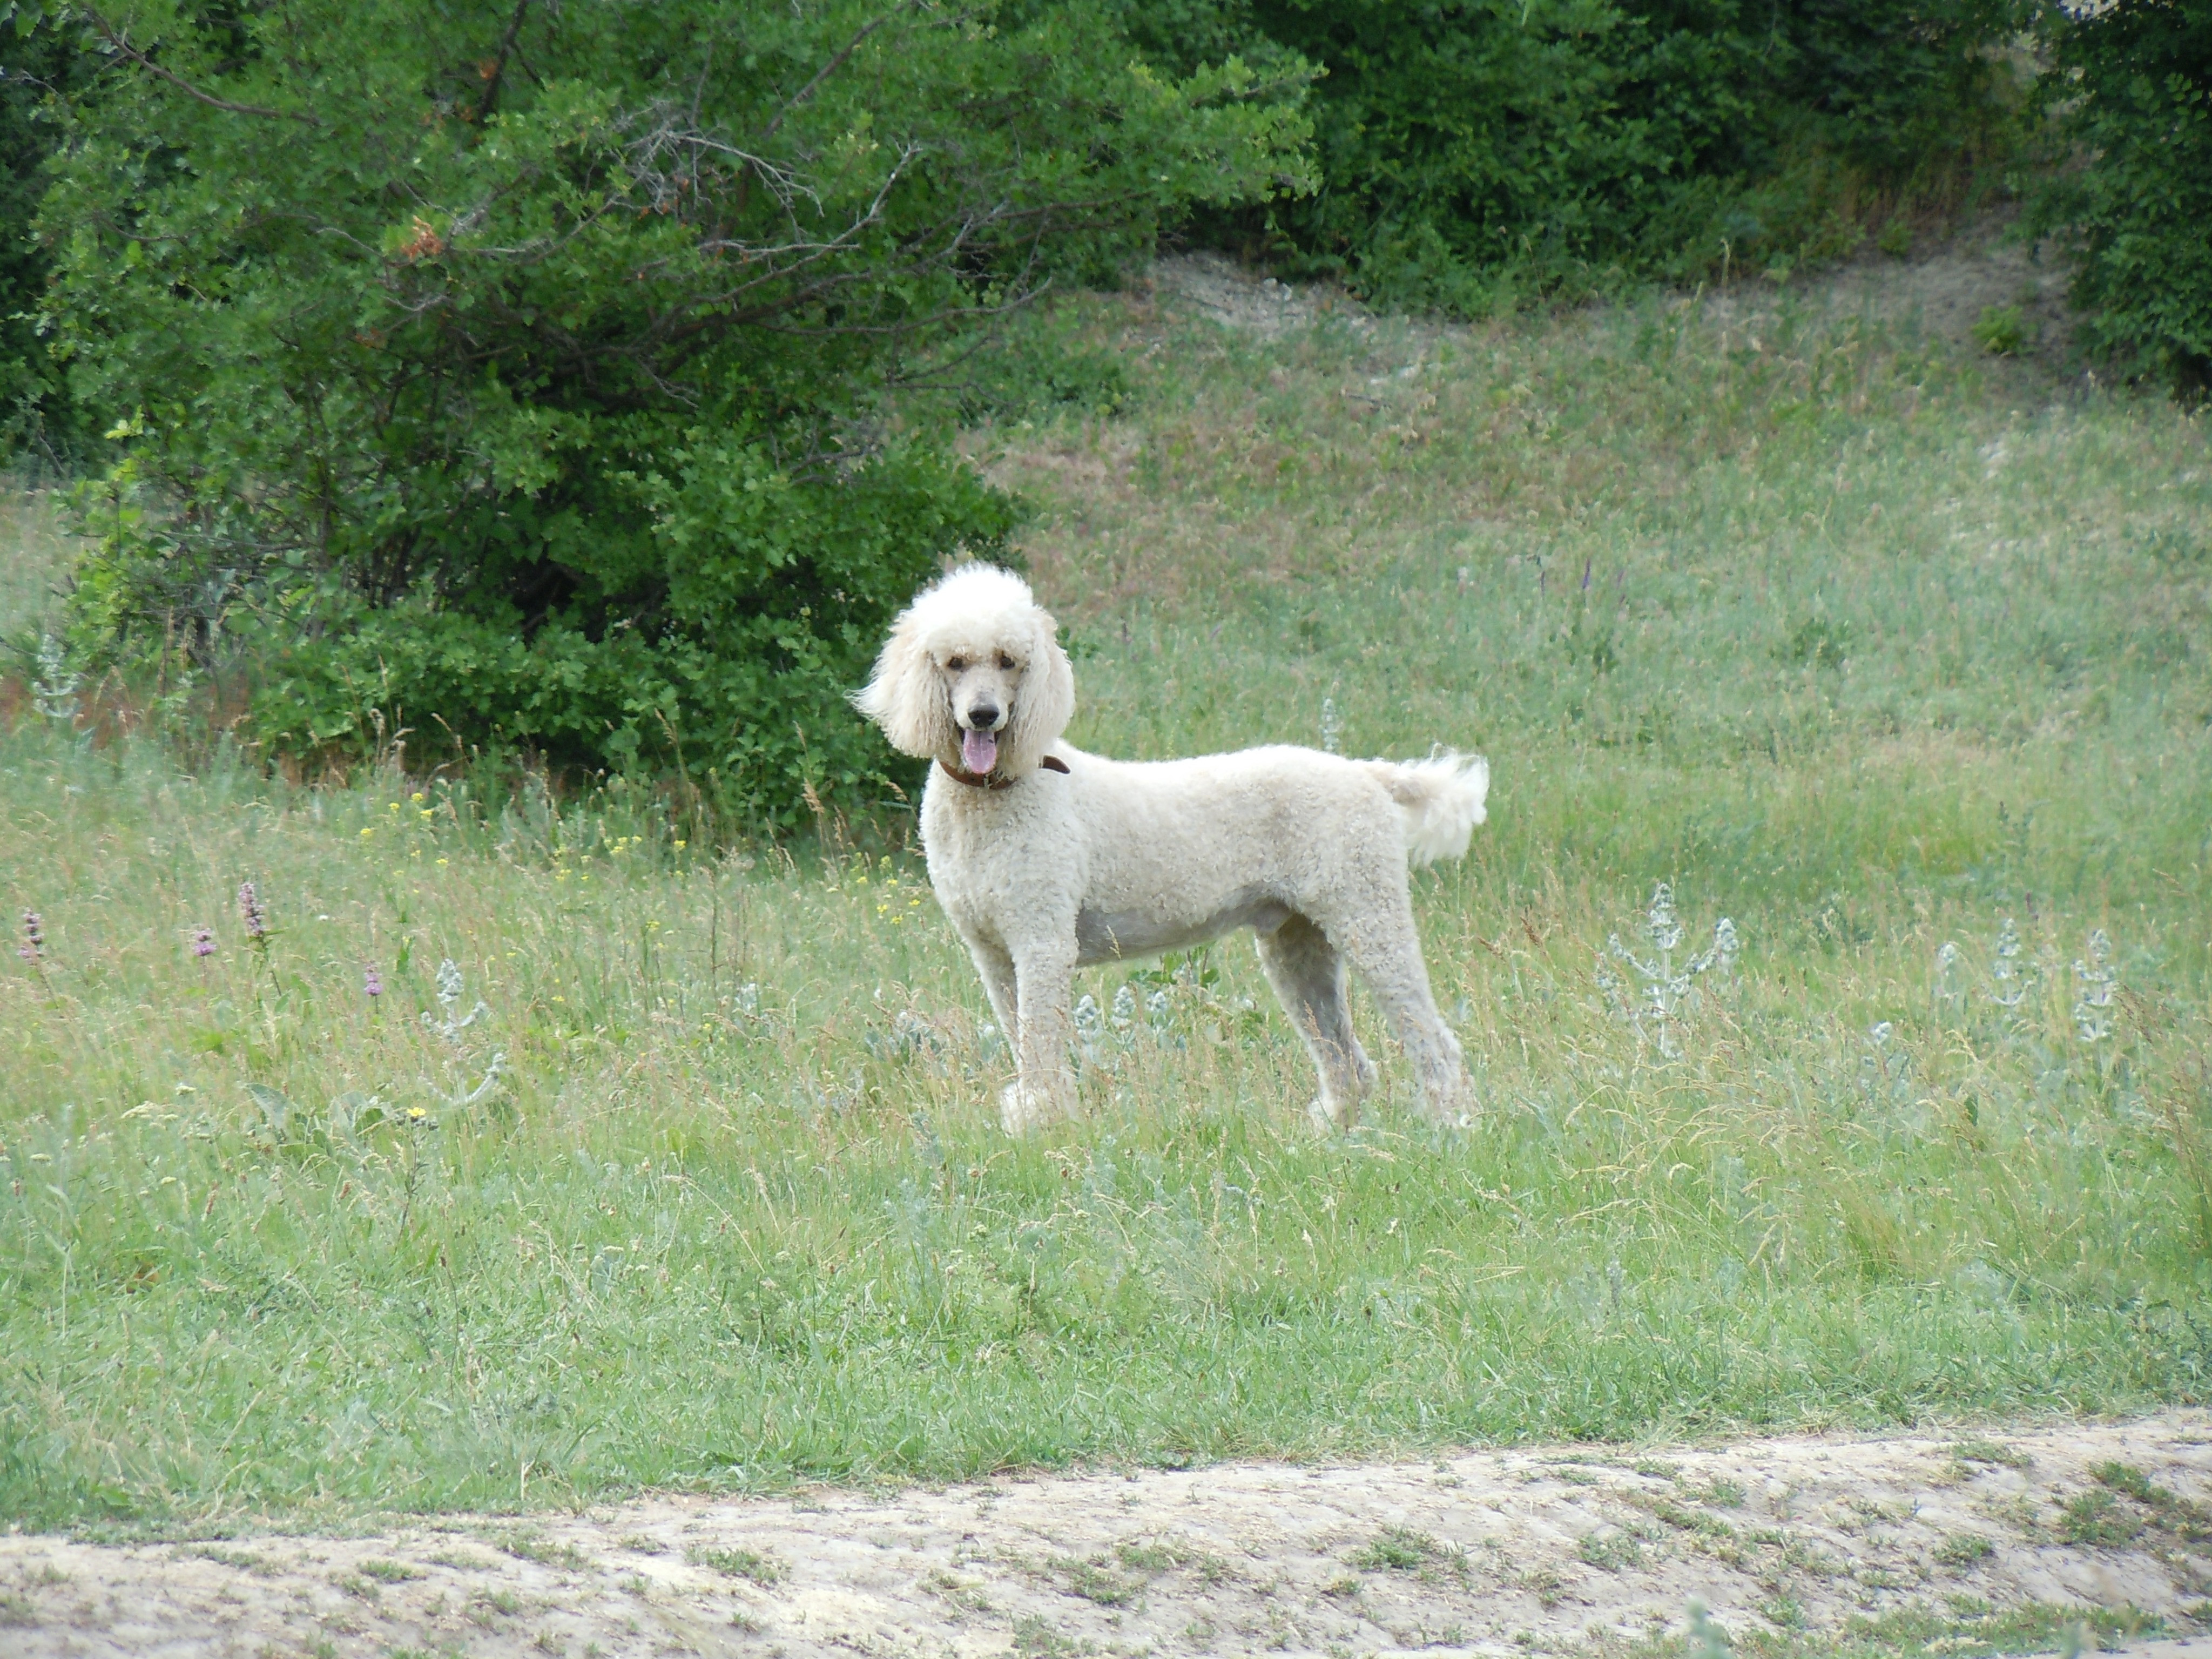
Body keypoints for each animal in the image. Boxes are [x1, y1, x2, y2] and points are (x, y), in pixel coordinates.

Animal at [855, 564, 1488, 1134]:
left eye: (1010, 661)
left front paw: (1041, 1120)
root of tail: (1366, 774)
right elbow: (1022, 1039)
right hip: (1298, 943)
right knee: (1346, 1059)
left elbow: (1039, 1045)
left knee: (1432, 1040)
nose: (984, 715)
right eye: (954, 662)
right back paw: (1338, 1130)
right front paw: (1042, 1115)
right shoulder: (993, 953)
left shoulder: (1041, 941)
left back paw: (1452, 1125)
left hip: (1367, 917)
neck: (999, 792)